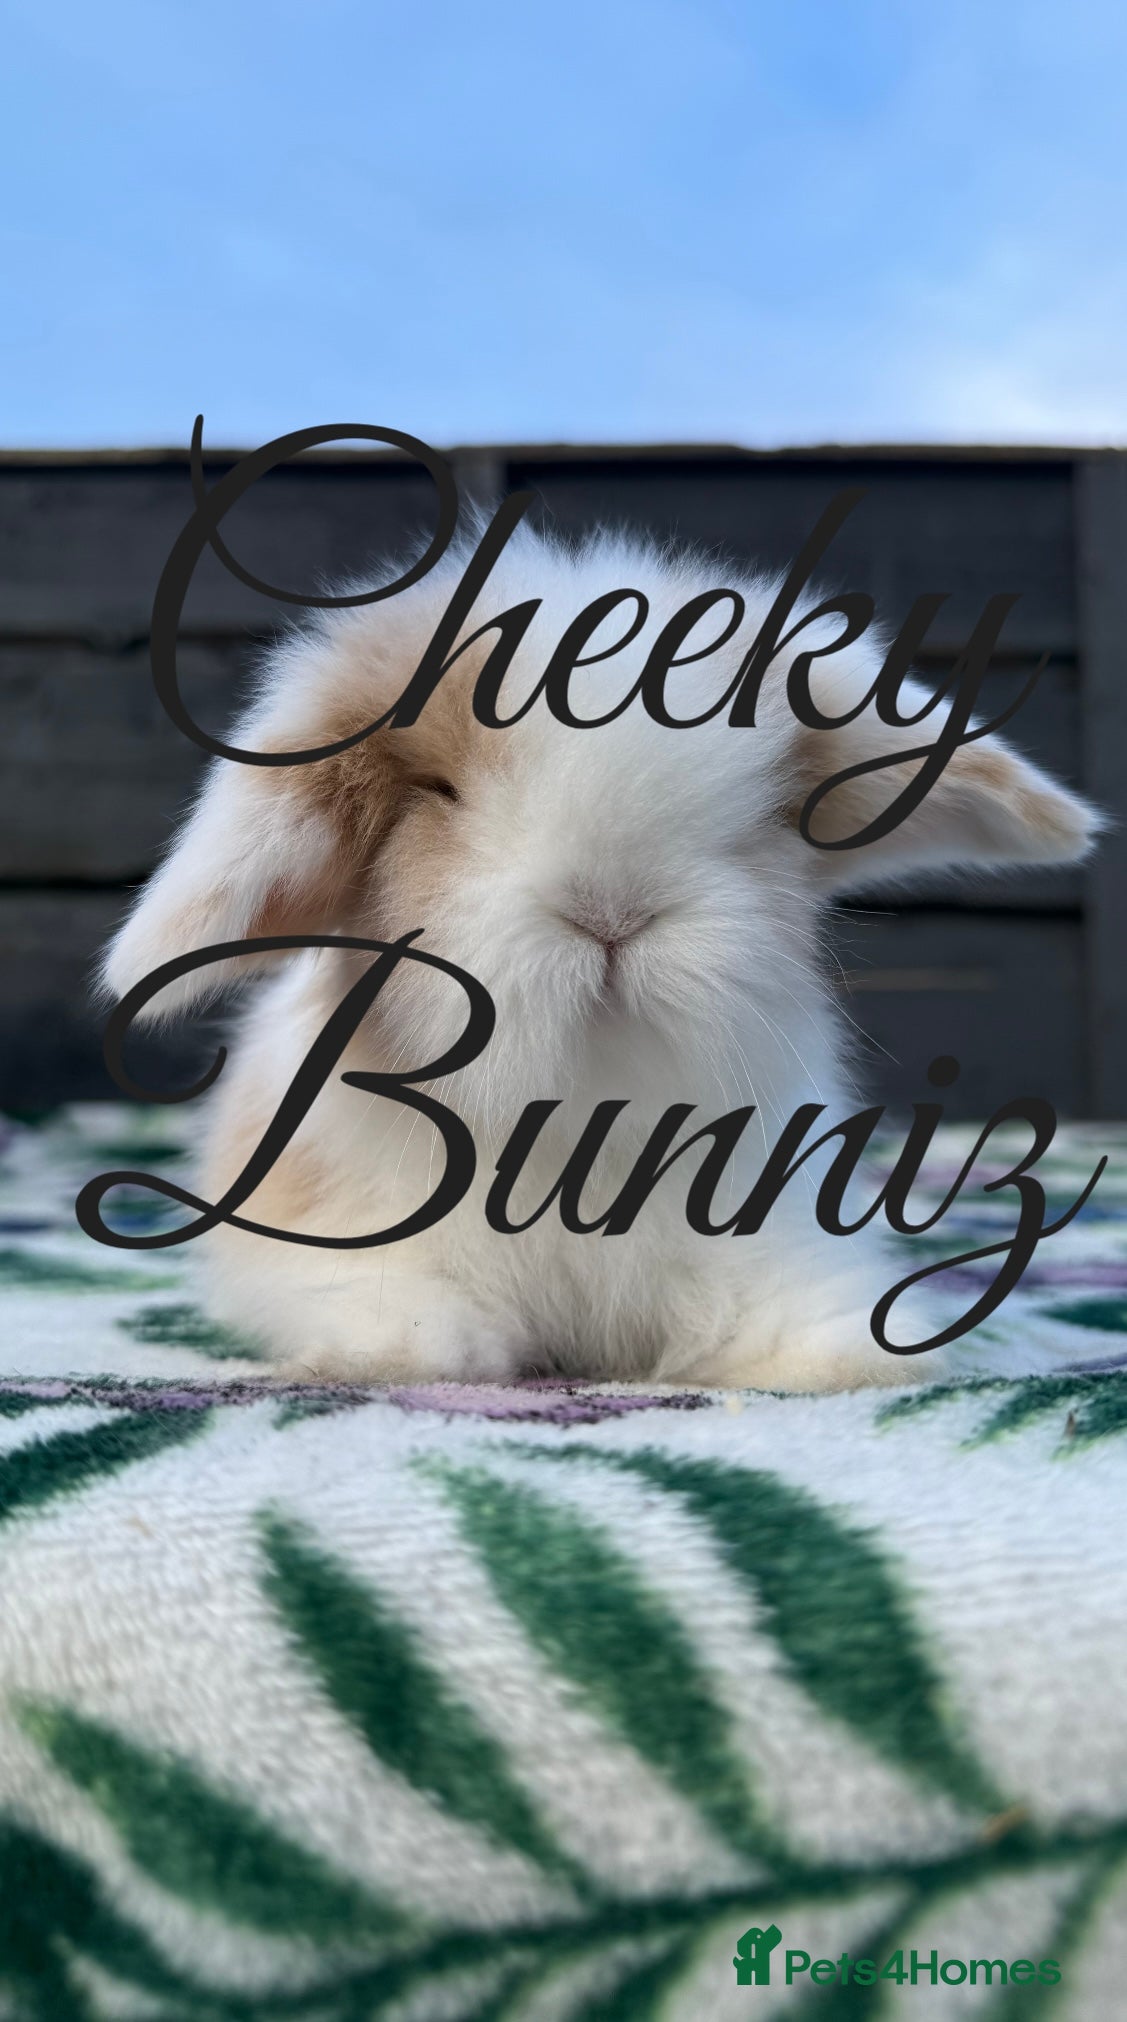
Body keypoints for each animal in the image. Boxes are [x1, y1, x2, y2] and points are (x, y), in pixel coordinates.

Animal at [101, 517, 1101, 1391]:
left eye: (767, 810)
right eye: (440, 792)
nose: (612, 911)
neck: (580, 1093)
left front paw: (838, 1357)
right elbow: (406, 1321)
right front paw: (388, 1354)